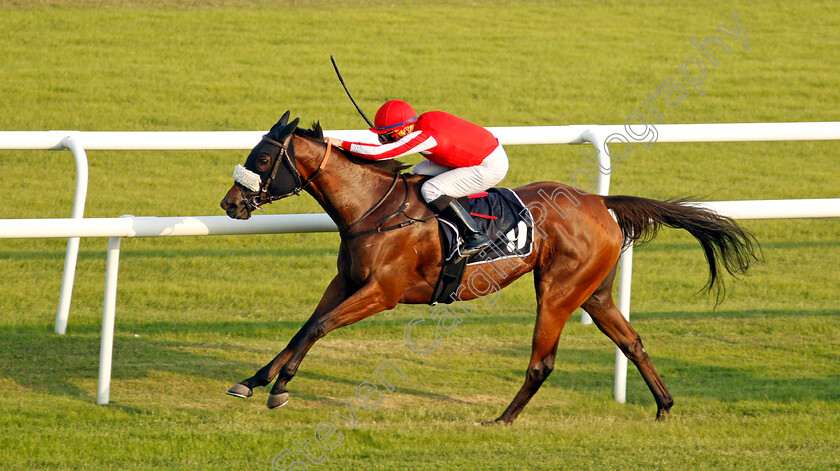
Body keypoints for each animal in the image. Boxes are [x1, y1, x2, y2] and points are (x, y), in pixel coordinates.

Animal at [220, 112, 756, 426]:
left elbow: (320, 327)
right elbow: (306, 326)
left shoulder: (382, 292)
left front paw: (280, 389)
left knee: (543, 363)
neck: (373, 208)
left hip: (558, 291)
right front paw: (254, 380)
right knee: (632, 341)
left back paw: (502, 420)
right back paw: (663, 407)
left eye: (262, 158)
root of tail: (600, 202)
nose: (229, 204)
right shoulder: (346, 281)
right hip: (595, 293)